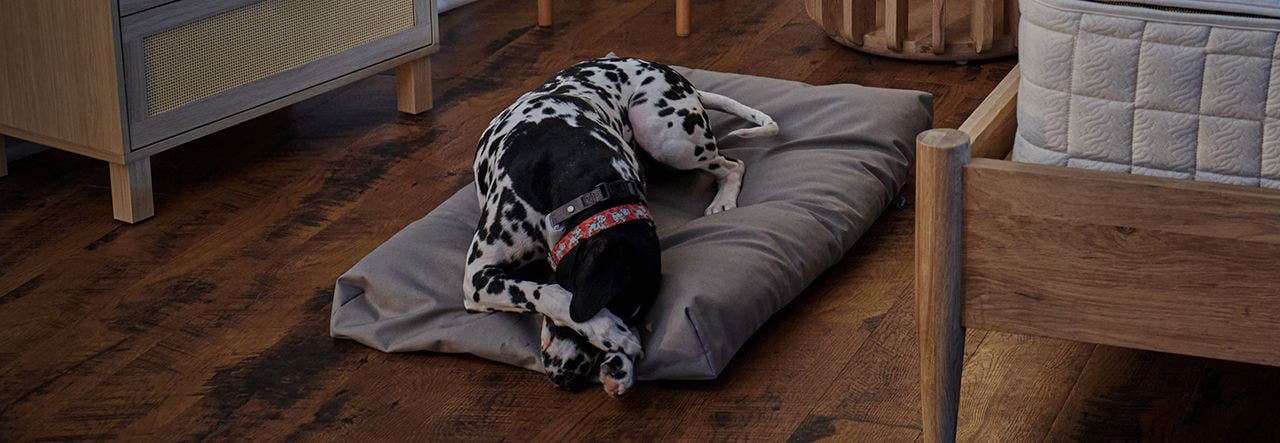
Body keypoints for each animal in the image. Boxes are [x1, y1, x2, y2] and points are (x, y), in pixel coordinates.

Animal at [463, 53, 773, 396]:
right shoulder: (477, 278)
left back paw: (723, 201)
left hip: (668, 139)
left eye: (633, 312)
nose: (569, 380)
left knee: (733, 165)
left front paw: (621, 361)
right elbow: (552, 293)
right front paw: (610, 331)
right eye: (611, 306)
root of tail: (677, 76)